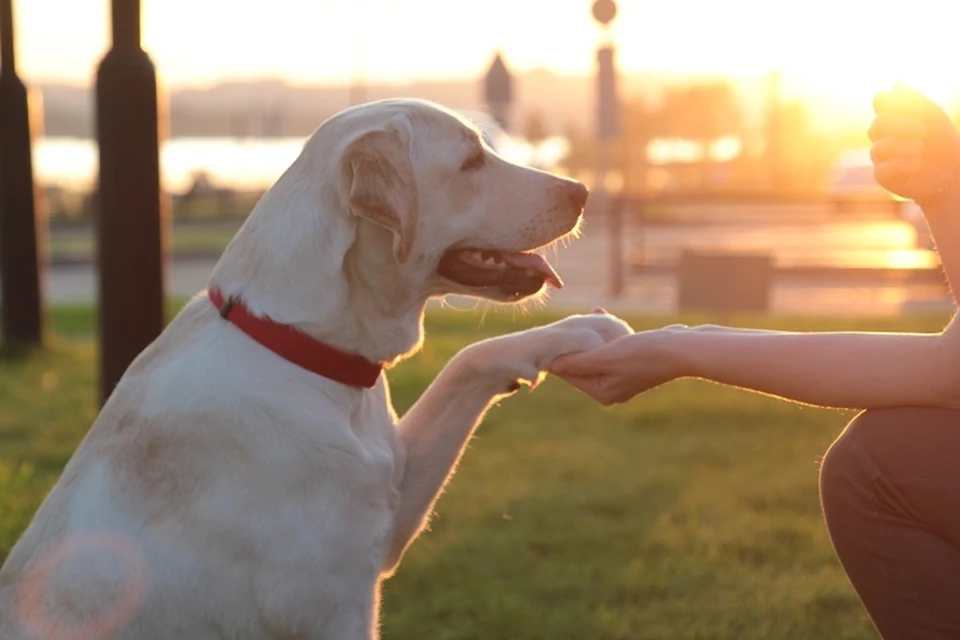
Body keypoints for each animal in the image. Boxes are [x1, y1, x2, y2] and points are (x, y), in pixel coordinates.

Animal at [0, 97, 632, 636]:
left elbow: (467, 359)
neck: (299, 345)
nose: (582, 191)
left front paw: (578, 331)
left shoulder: (389, 517)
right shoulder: (334, 607)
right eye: (472, 161)